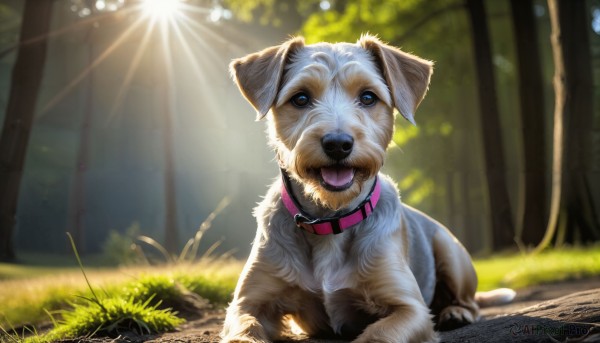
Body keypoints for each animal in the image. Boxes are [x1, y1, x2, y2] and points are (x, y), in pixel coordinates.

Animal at [220, 35, 510, 343]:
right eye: (300, 98)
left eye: (368, 97)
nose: (338, 143)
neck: (330, 219)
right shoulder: (246, 303)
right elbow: (245, 326)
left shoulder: (410, 308)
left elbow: (381, 332)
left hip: (450, 251)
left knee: (470, 302)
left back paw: (456, 311)